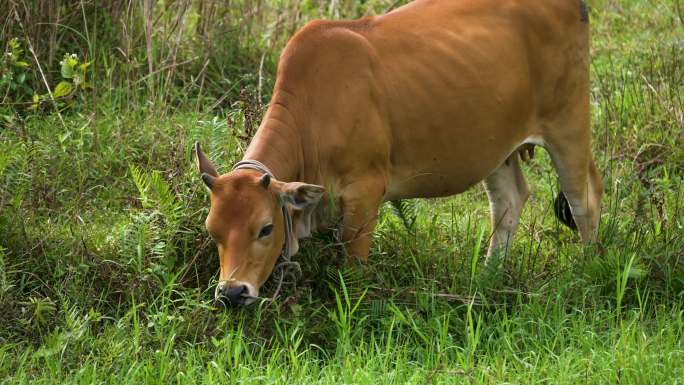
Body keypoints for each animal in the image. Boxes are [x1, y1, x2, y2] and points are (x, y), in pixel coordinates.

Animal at [195, 0, 600, 306]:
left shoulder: (365, 194)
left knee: (585, 201)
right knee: (509, 202)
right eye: (213, 230)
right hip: (498, 147)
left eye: (265, 228)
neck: (314, 112)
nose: (232, 293)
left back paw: (588, 272)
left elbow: (353, 269)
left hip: (569, 122)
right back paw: (487, 278)